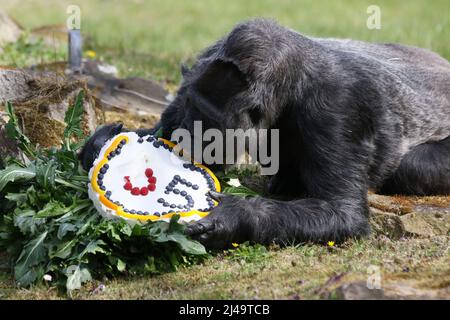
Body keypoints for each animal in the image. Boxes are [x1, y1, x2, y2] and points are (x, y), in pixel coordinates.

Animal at [81, 18, 450, 250]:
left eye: (207, 118)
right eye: (190, 106)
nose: (188, 134)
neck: (293, 83)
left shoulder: (336, 105)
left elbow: (341, 212)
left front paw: (234, 217)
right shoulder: (204, 60)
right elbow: (160, 132)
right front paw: (100, 145)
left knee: (409, 168)